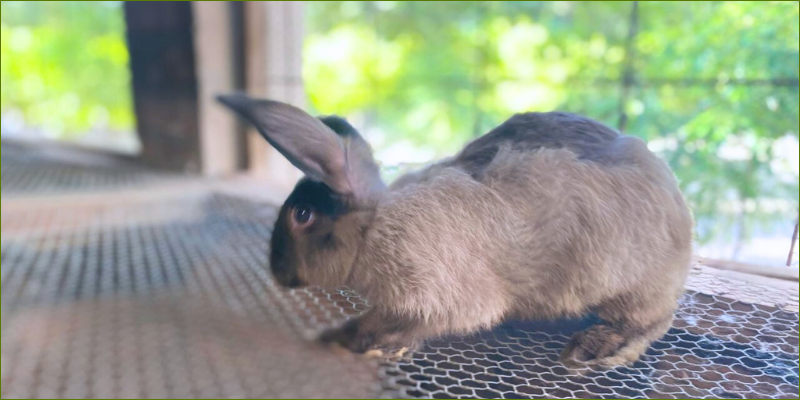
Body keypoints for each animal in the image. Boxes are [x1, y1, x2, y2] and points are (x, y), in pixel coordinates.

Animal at [218, 93, 694, 367]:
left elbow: (403, 321)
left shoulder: (439, 294)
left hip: (628, 282)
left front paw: (348, 339)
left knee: (654, 321)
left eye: (302, 216)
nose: (278, 274)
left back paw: (599, 347)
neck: (374, 224)